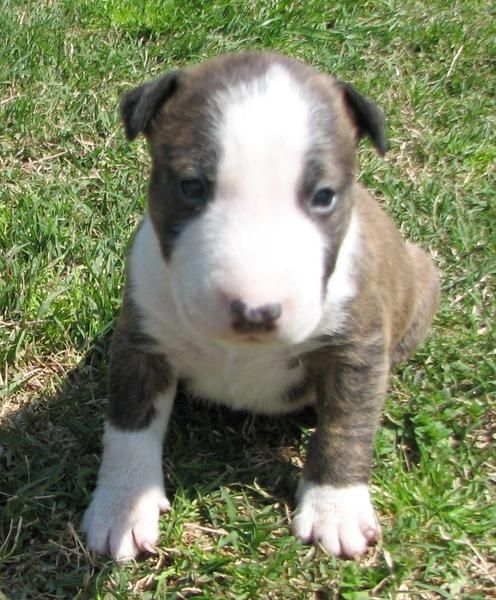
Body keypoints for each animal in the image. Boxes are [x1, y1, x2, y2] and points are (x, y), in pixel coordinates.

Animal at [80, 51, 438, 564]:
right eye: (192, 187)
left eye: (324, 196)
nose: (254, 311)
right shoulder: (142, 341)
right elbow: (128, 425)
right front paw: (122, 506)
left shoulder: (357, 349)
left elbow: (348, 425)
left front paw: (335, 508)